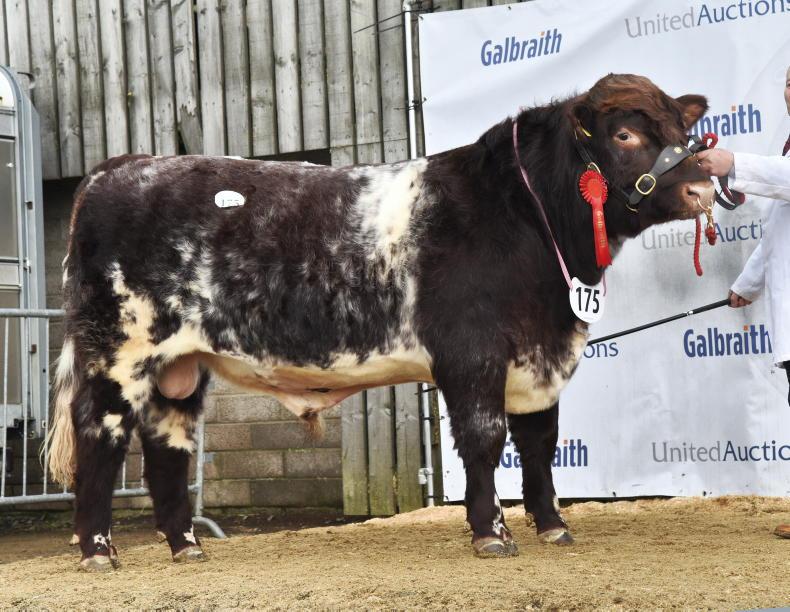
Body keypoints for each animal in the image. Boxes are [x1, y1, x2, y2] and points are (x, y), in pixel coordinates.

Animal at [46, 74, 713, 571]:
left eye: (685, 132)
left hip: (179, 366)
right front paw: (492, 533)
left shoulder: (538, 356)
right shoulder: (471, 352)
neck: (528, 221)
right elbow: (484, 439)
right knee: (101, 436)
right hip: (119, 351)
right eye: (625, 133)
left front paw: (552, 524)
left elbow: (539, 442)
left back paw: (186, 547)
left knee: (168, 447)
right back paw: (98, 550)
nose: (705, 188)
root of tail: (123, 165)